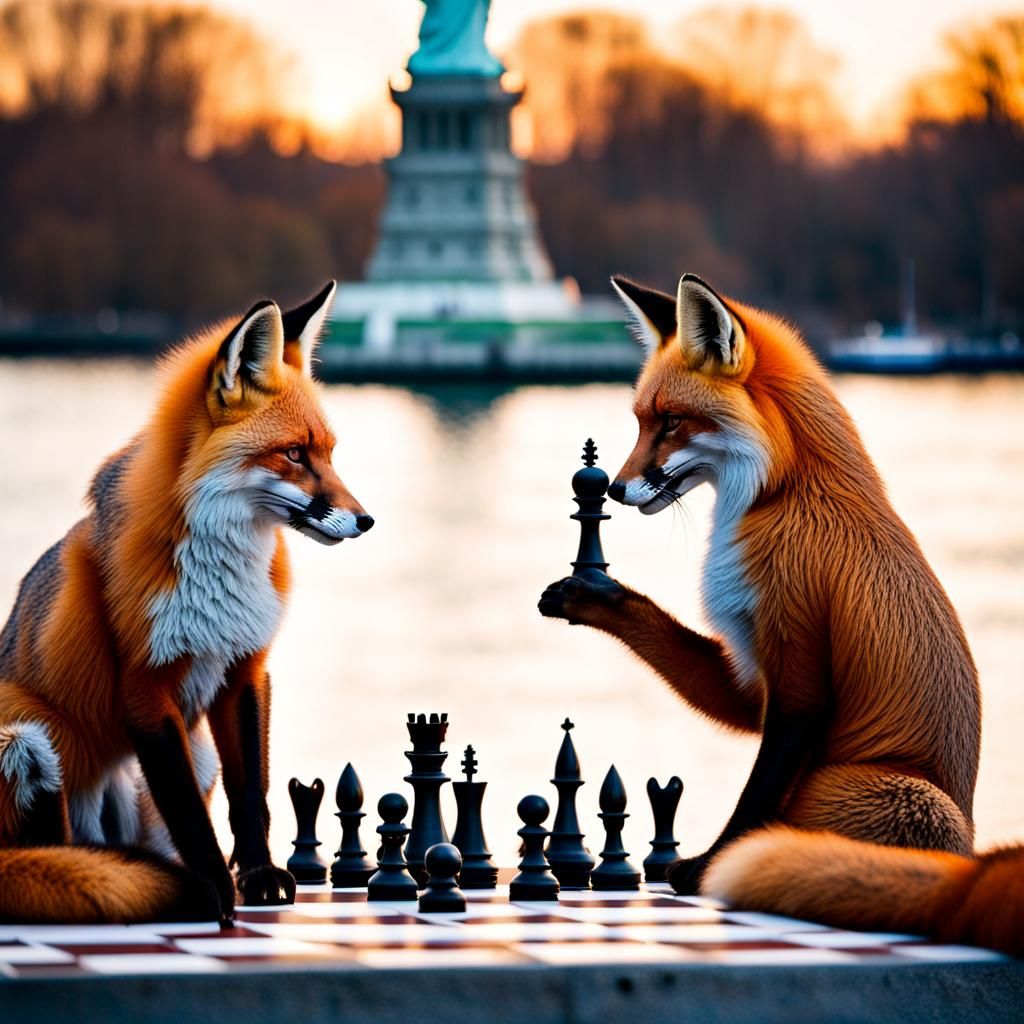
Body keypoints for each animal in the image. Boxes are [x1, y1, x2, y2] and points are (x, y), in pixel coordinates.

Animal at [0, 281, 373, 925]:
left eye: (328, 453)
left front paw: (259, 876)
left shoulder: (244, 667)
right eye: (294, 455)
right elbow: (193, 822)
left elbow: (250, 797)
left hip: (177, 760)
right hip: (28, 729)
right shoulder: (145, 690)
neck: (220, 581)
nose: (366, 521)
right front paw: (216, 895)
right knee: (55, 842)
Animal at [540, 273, 1022, 956]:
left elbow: (756, 796)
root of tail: (971, 849)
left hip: (901, 797)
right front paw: (591, 596)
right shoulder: (754, 676)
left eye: (671, 422)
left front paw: (706, 867)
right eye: (639, 422)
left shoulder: (797, 666)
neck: (782, 498)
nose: (612, 488)